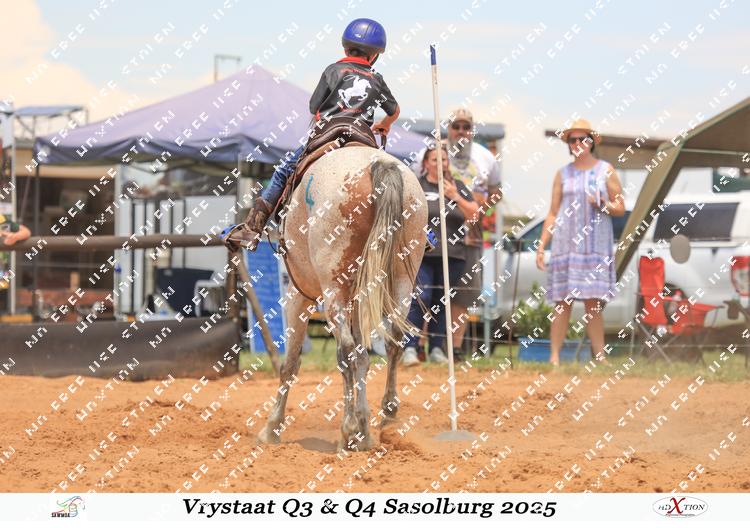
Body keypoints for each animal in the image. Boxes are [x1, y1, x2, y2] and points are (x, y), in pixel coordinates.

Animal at [256, 145, 427, 451]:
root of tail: (378, 166)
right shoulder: (359, 299)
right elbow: (363, 358)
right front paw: (363, 426)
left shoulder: (298, 296)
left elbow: (290, 363)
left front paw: (272, 428)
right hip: (400, 282)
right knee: (392, 341)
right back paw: (386, 416)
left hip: (333, 288)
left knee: (345, 351)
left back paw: (347, 430)